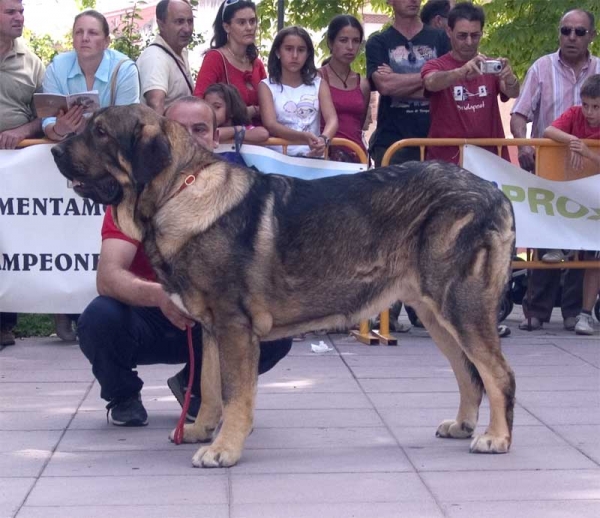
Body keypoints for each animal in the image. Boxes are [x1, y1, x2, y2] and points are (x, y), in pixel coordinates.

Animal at [52, 103, 516, 470]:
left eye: (100, 132)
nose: (55, 148)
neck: (177, 193)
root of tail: (493, 192)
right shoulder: (212, 328)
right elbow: (209, 385)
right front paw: (202, 430)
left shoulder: (235, 327)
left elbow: (235, 394)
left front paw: (223, 449)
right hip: (435, 312)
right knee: (469, 374)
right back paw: (463, 425)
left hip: (460, 306)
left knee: (498, 373)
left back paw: (497, 438)